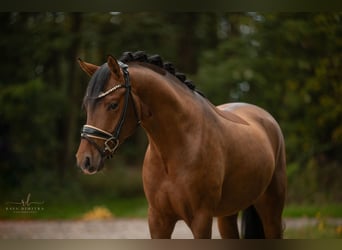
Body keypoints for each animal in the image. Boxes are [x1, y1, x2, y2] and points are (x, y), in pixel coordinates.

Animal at [75, 51, 286, 238]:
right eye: (86, 106)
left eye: (113, 105)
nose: (84, 160)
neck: (177, 148)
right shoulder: (158, 220)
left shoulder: (201, 220)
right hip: (227, 215)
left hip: (271, 211)